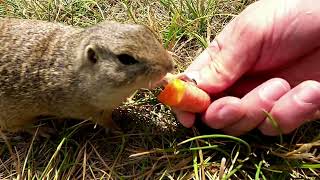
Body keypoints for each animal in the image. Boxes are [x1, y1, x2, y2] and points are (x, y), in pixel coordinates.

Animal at [0, 17, 174, 132]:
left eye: (145, 30)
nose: (170, 65)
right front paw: (118, 129)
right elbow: (105, 121)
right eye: (126, 59)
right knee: (14, 127)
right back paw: (40, 130)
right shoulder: (90, 110)